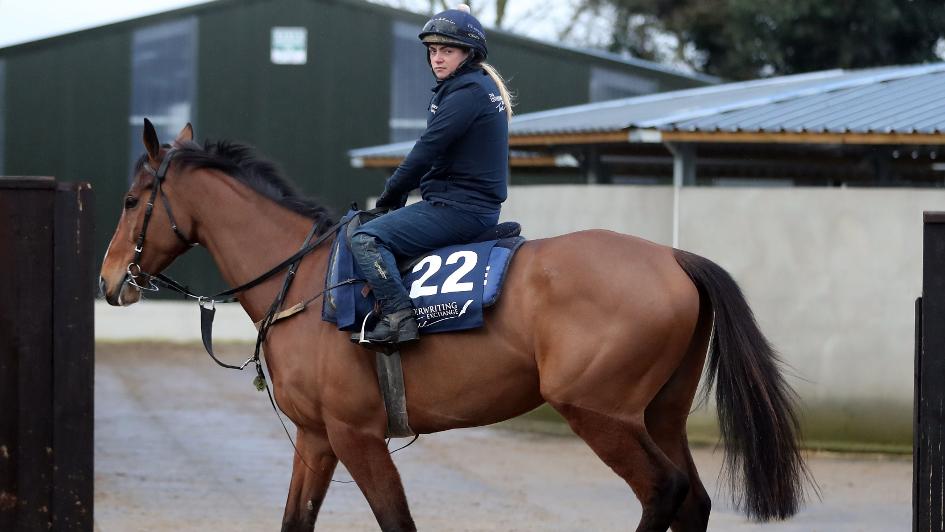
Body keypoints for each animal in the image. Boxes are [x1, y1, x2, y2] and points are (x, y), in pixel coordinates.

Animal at [99, 120, 810, 532]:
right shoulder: (317, 439)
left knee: (663, 492)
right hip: (657, 415)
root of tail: (673, 257)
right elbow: (295, 522)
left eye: (132, 200)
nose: (108, 281)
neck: (304, 280)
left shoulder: (358, 437)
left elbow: (398, 524)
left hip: (599, 412)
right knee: (692, 500)